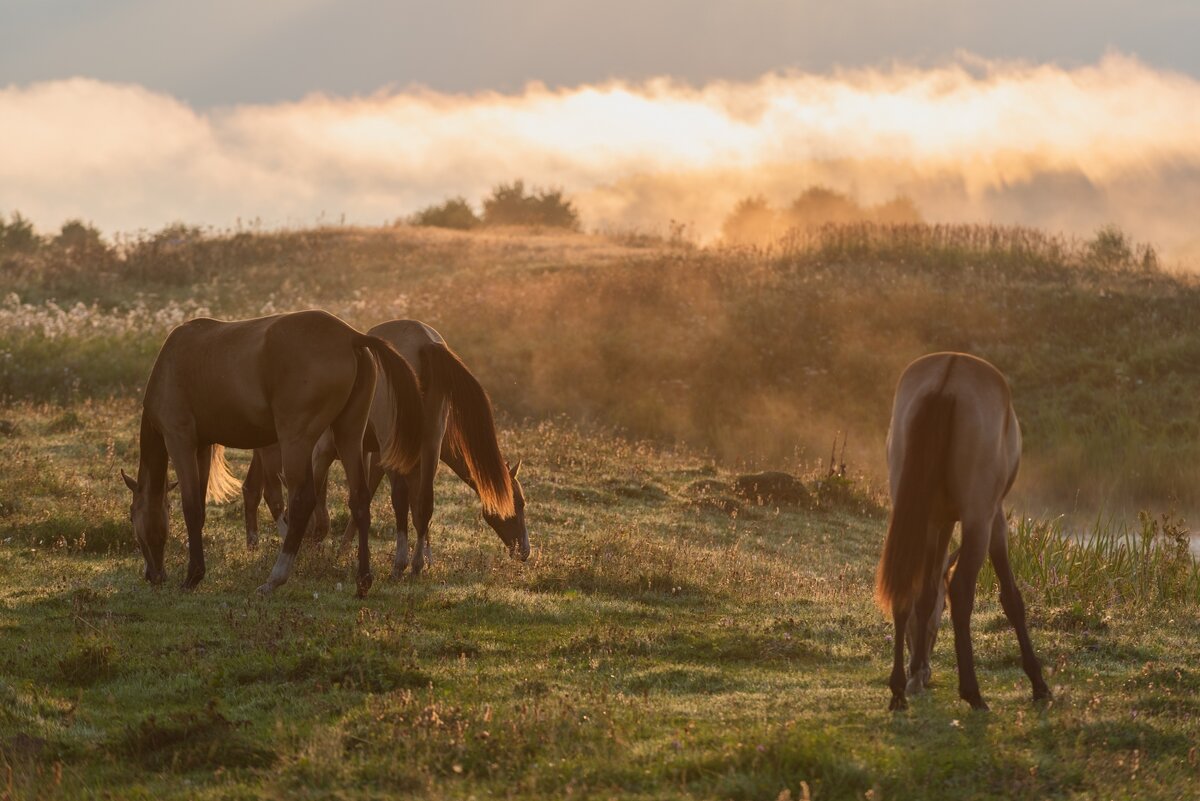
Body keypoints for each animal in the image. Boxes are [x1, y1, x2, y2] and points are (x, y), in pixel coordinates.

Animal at [121, 309, 422, 597]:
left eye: (132, 515)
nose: (153, 575)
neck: (171, 366)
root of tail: (351, 336)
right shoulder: (202, 447)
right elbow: (200, 508)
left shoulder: (179, 440)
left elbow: (192, 507)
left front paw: (192, 577)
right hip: (349, 435)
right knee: (359, 499)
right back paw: (363, 581)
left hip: (296, 441)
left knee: (302, 502)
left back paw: (274, 580)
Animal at [873, 352, 1051, 709]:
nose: (923, 668)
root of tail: (948, 376)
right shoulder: (994, 519)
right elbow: (1011, 598)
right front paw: (1038, 682)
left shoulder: (935, 521)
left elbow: (926, 593)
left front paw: (915, 672)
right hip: (978, 520)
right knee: (962, 589)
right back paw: (972, 691)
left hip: (911, 513)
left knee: (905, 584)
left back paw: (897, 688)